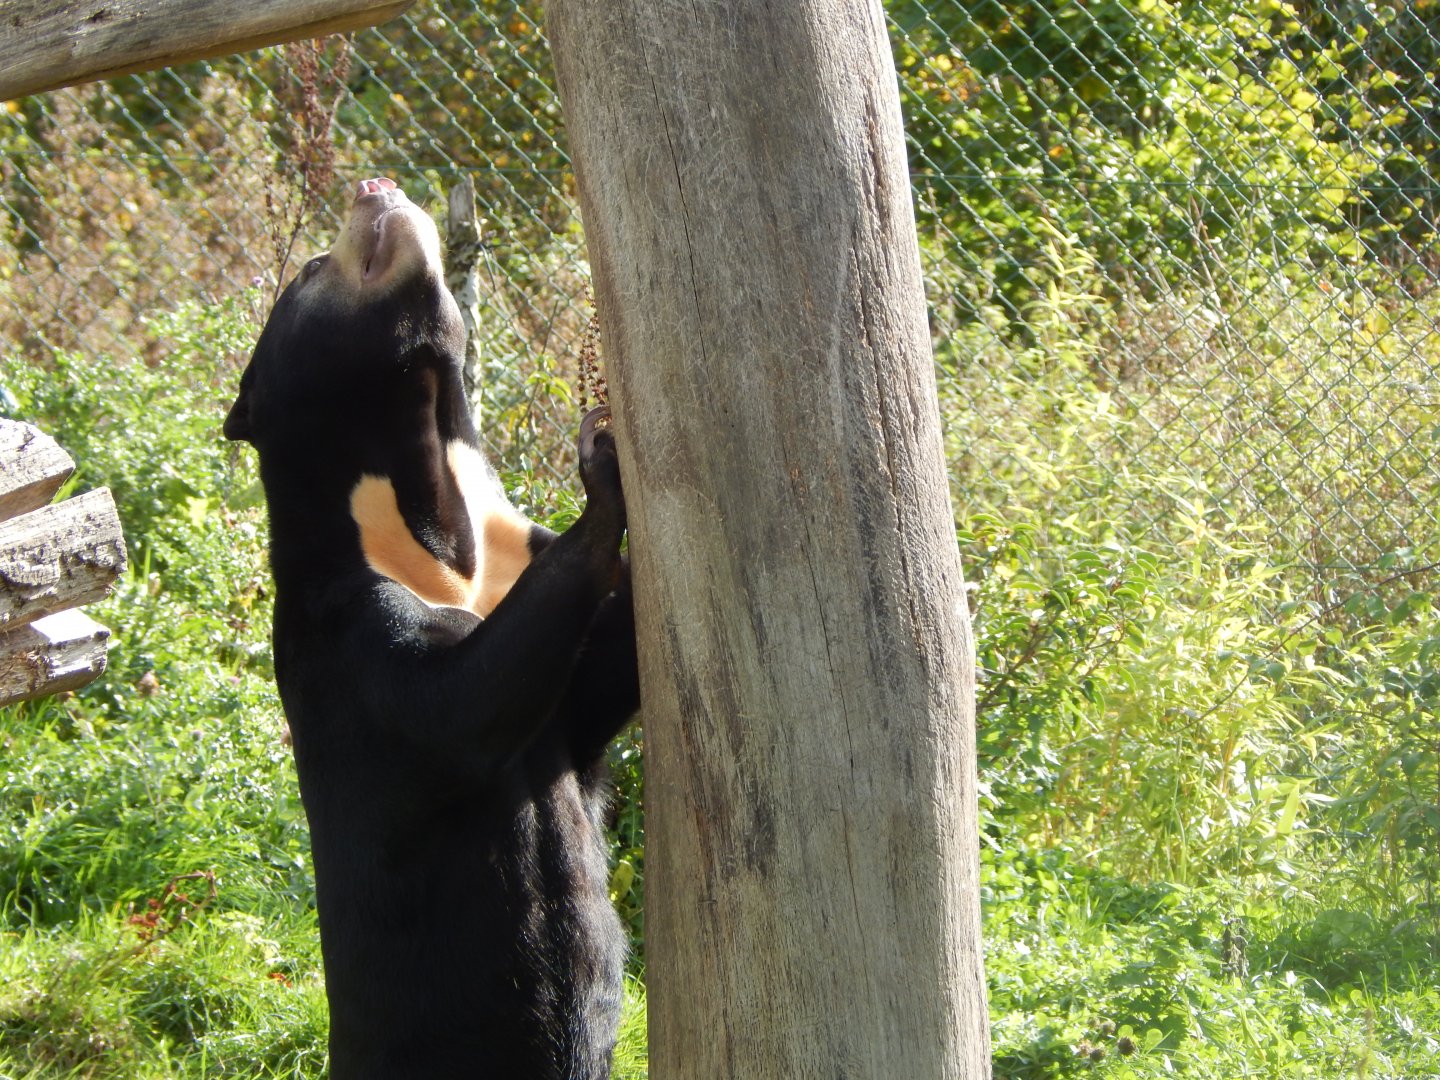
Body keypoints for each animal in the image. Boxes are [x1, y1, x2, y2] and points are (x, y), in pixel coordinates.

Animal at [224, 176, 639, 1079]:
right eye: (313, 267)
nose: (373, 183)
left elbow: (608, 674)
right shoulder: (348, 635)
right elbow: (459, 708)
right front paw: (602, 460)